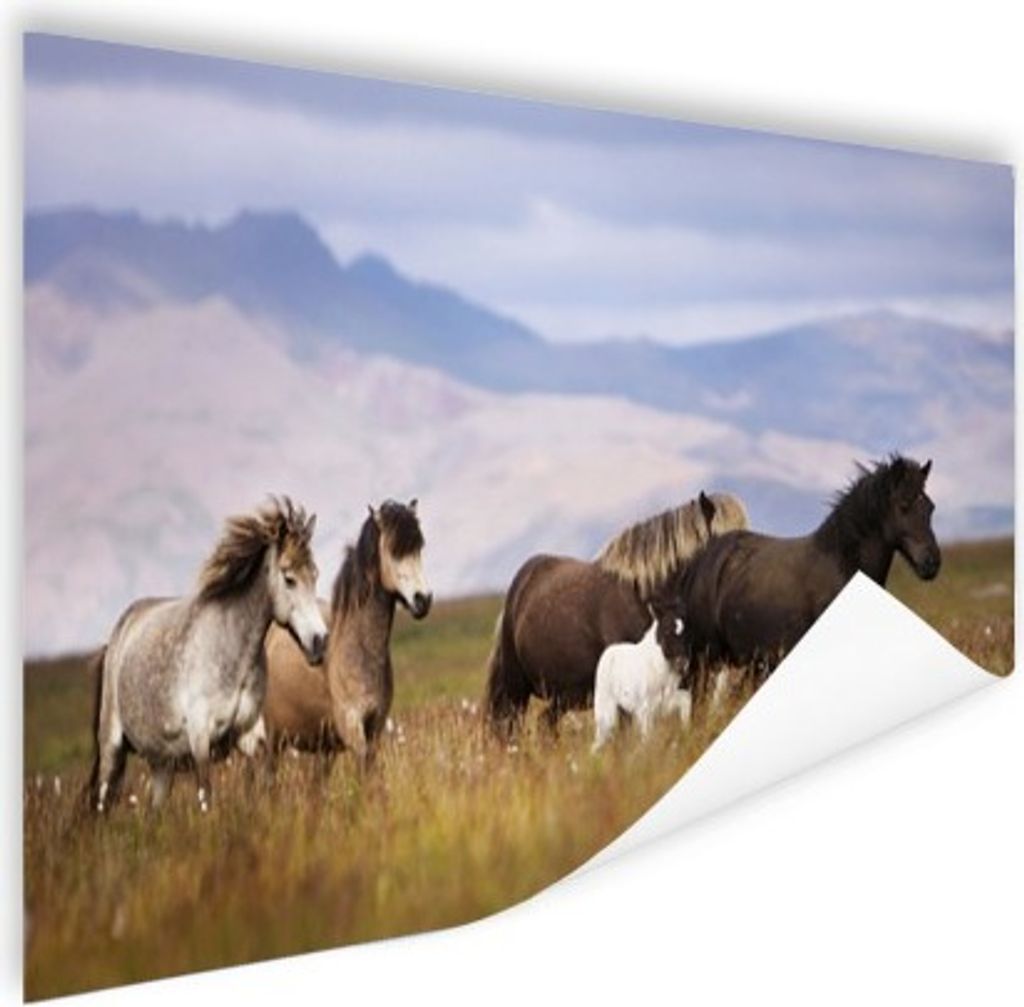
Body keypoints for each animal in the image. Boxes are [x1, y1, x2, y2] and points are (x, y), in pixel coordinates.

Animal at [90, 497, 326, 814]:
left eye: (315, 575)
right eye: (289, 579)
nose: (319, 641)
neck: (232, 653)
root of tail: (120, 632)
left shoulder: (249, 733)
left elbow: (265, 778)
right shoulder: (200, 738)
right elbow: (206, 796)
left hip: (162, 764)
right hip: (111, 748)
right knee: (102, 802)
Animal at [243, 498, 431, 770]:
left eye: (419, 548)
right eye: (394, 550)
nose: (423, 600)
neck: (360, 649)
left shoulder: (374, 730)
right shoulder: (353, 729)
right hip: (268, 742)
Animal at [592, 599, 691, 752]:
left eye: (685, 632)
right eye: (667, 631)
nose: (683, 664)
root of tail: (609, 651)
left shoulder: (665, 702)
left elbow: (686, 700)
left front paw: (686, 731)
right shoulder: (645, 709)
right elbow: (647, 738)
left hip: (624, 711)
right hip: (606, 708)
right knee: (600, 738)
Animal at [676, 455, 941, 723]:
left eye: (930, 507)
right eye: (903, 506)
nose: (931, 563)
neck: (841, 565)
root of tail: (711, 548)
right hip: (706, 657)